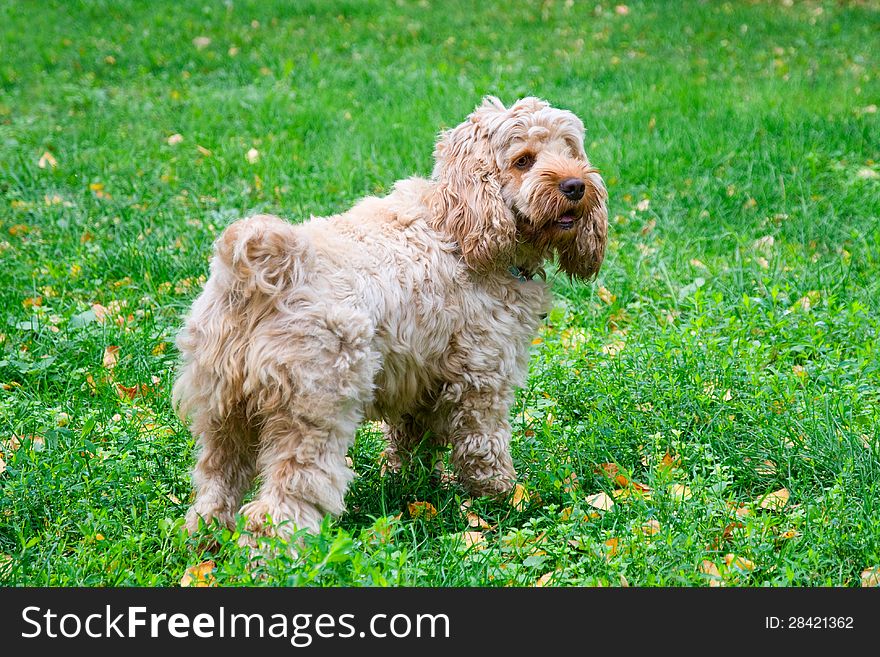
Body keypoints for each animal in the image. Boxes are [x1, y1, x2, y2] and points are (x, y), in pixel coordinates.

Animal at [175, 95, 608, 540]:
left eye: (569, 152)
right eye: (523, 161)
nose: (576, 186)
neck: (457, 224)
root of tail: (266, 272)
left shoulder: (420, 379)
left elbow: (412, 441)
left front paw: (413, 484)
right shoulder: (481, 380)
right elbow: (483, 446)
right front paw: (504, 499)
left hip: (224, 414)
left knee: (215, 483)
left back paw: (205, 541)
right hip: (312, 414)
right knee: (283, 503)